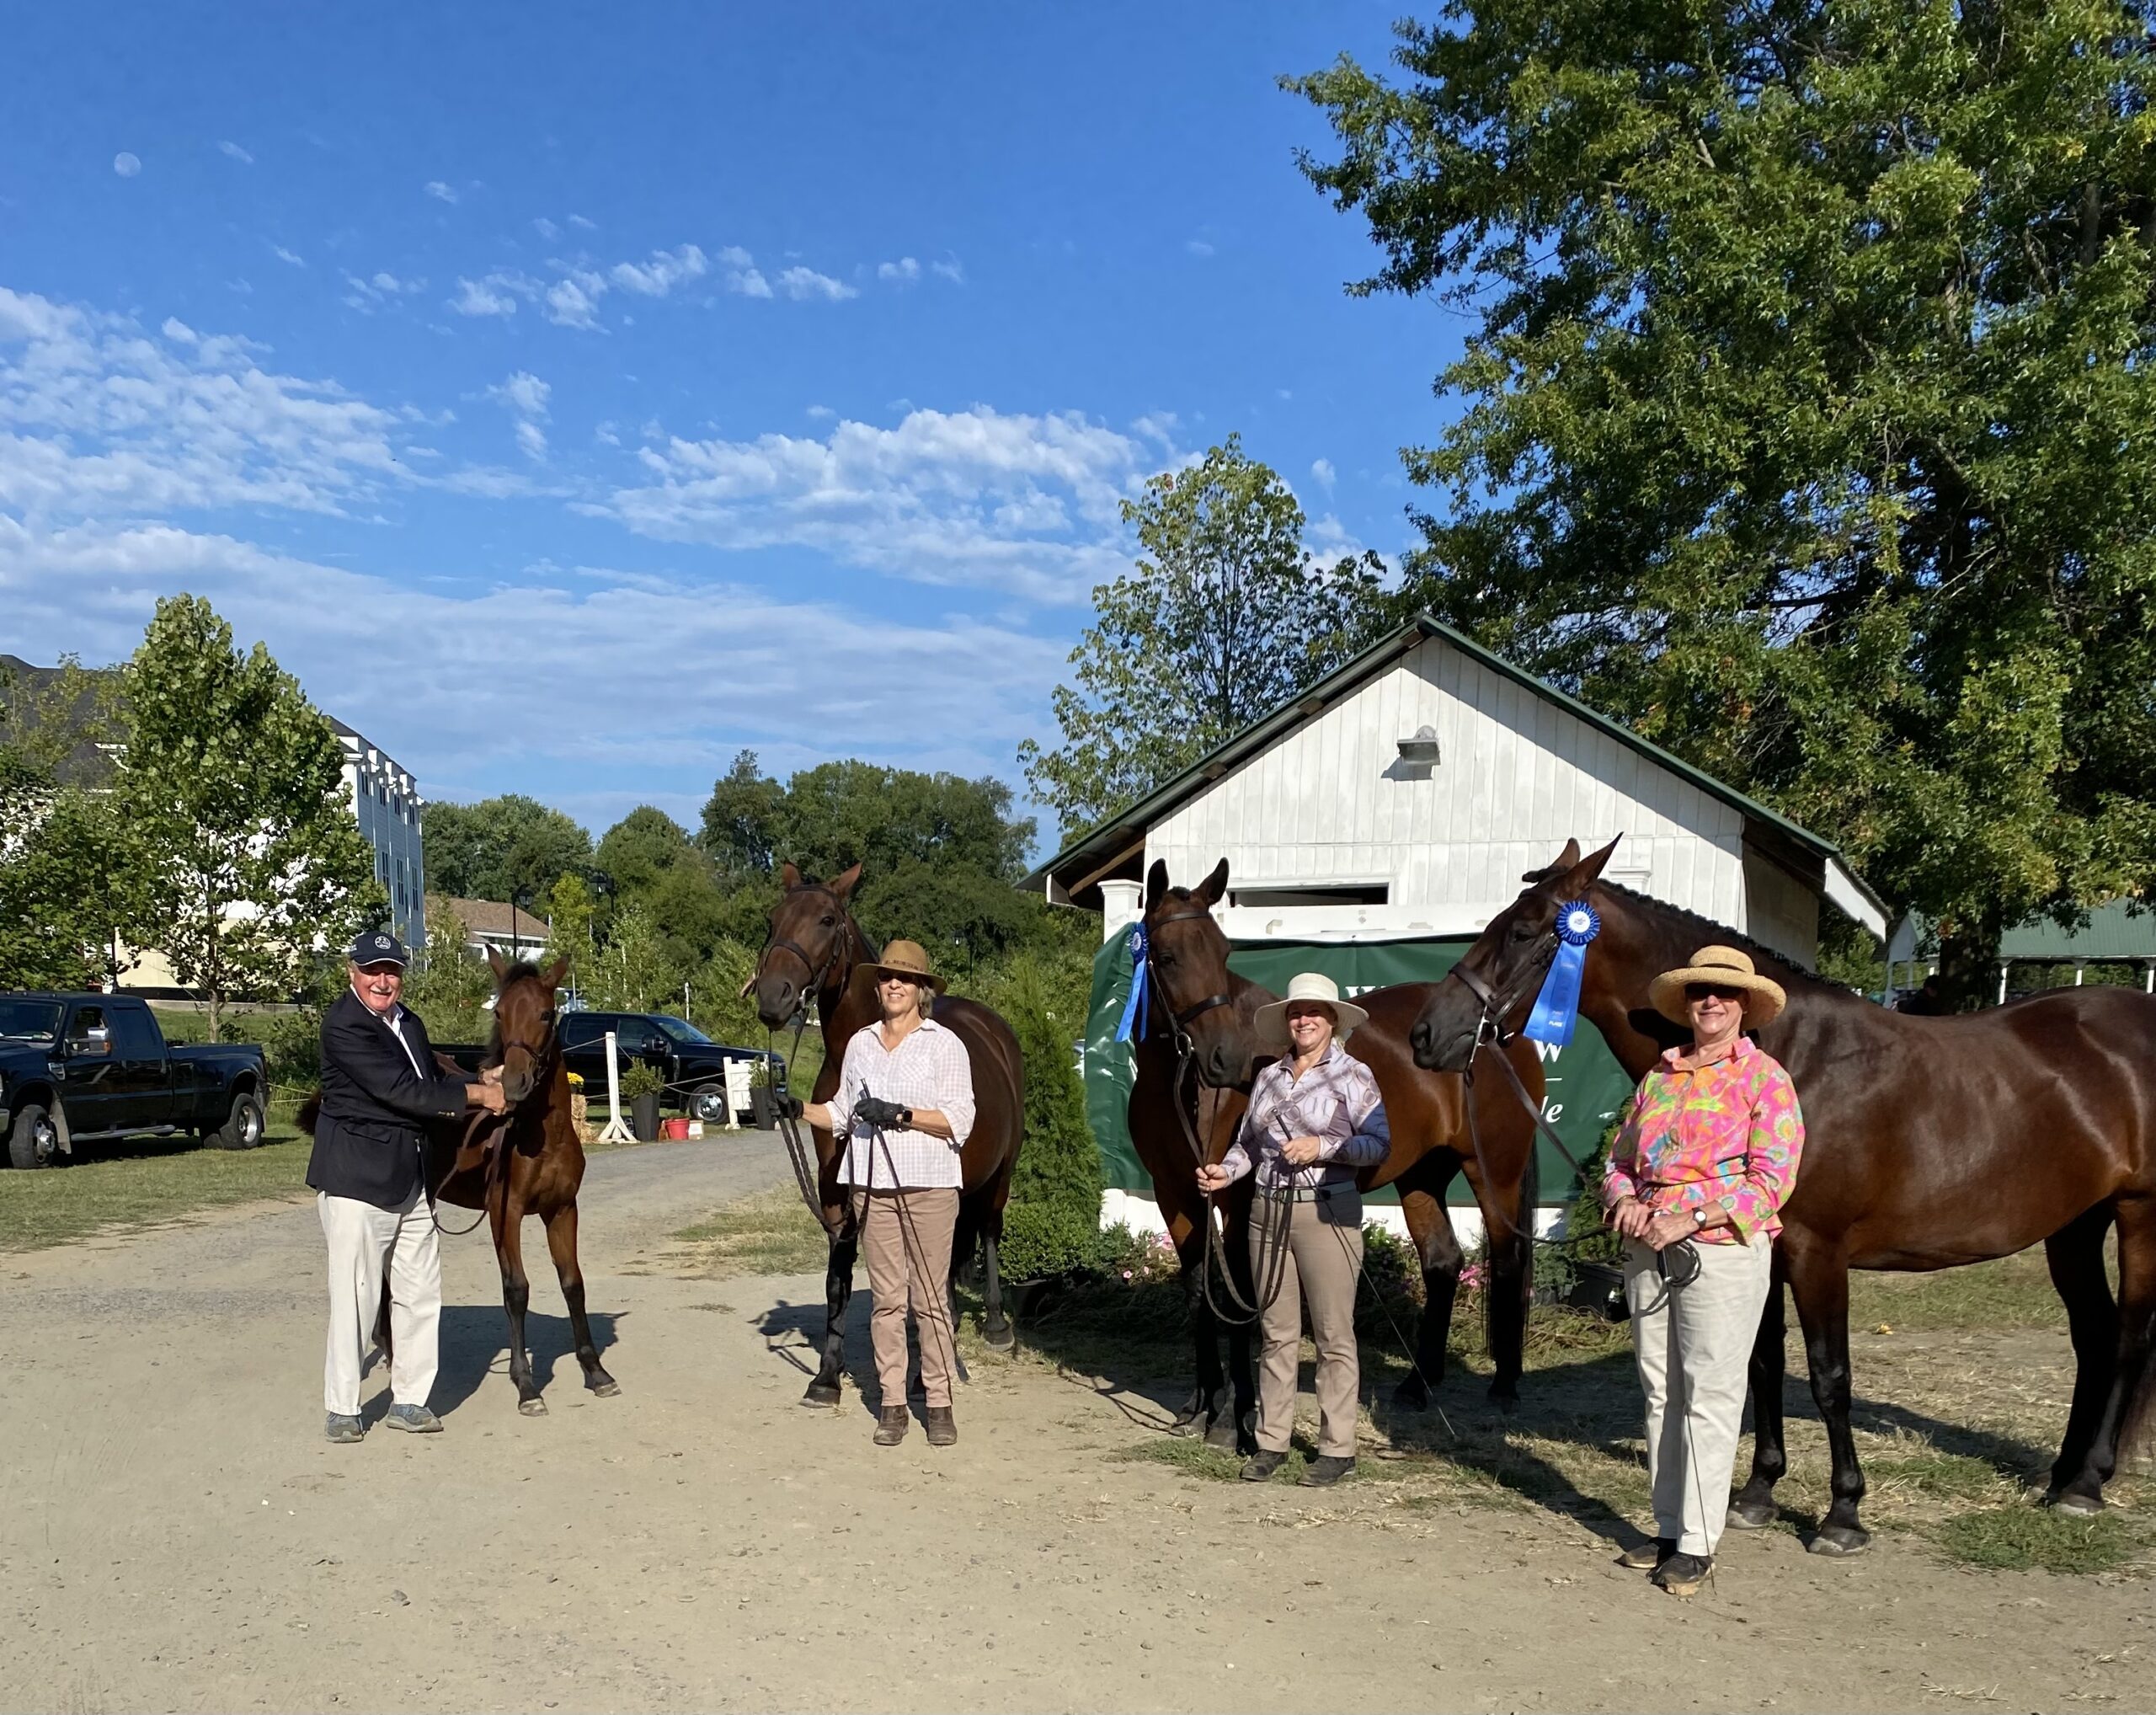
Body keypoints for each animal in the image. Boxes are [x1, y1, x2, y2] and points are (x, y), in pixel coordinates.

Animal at [750, 867, 1026, 1397]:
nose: (774, 997)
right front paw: (827, 1375)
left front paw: (925, 1372)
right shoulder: (836, 1192)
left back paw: (997, 1324)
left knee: (986, 1230)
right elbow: (838, 1278)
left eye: (827, 919)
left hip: (999, 1174)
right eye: (773, 918)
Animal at [1406, 836, 2156, 1552]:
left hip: (2137, 1215)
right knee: (2093, 1334)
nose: (1425, 1033)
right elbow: (1762, 1362)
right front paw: (1757, 1494)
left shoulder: (1817, 1253)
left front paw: (1843, 1514)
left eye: (1524, 931)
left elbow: (1829, 1376)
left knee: (2127, 1336)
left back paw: (2088, 1482)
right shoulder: (1756, 1248)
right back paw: (2060, 1477)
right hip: (2074, 1224)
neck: (1794, 1052)